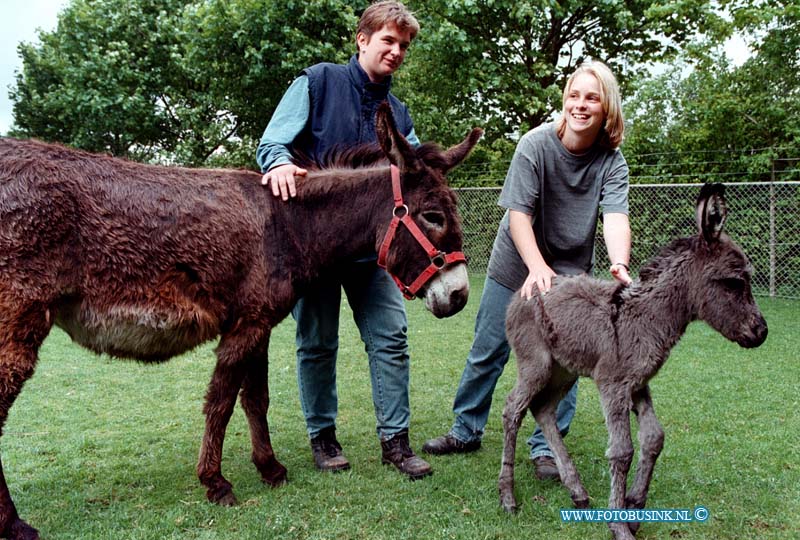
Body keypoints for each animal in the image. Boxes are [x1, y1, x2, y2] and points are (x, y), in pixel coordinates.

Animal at [500, 184, 768, 536]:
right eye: (734, 282)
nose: (761, 332)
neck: (646, 317)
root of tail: (523, 291)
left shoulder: (639, 383)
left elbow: (654, 438)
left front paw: (635, 507)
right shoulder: (613, 383)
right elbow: (622, 451)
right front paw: (619, 525)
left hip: (564, 370)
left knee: (542, 409)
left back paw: (578, 492)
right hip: (536, 364)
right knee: (512, 410)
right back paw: (508, 497)